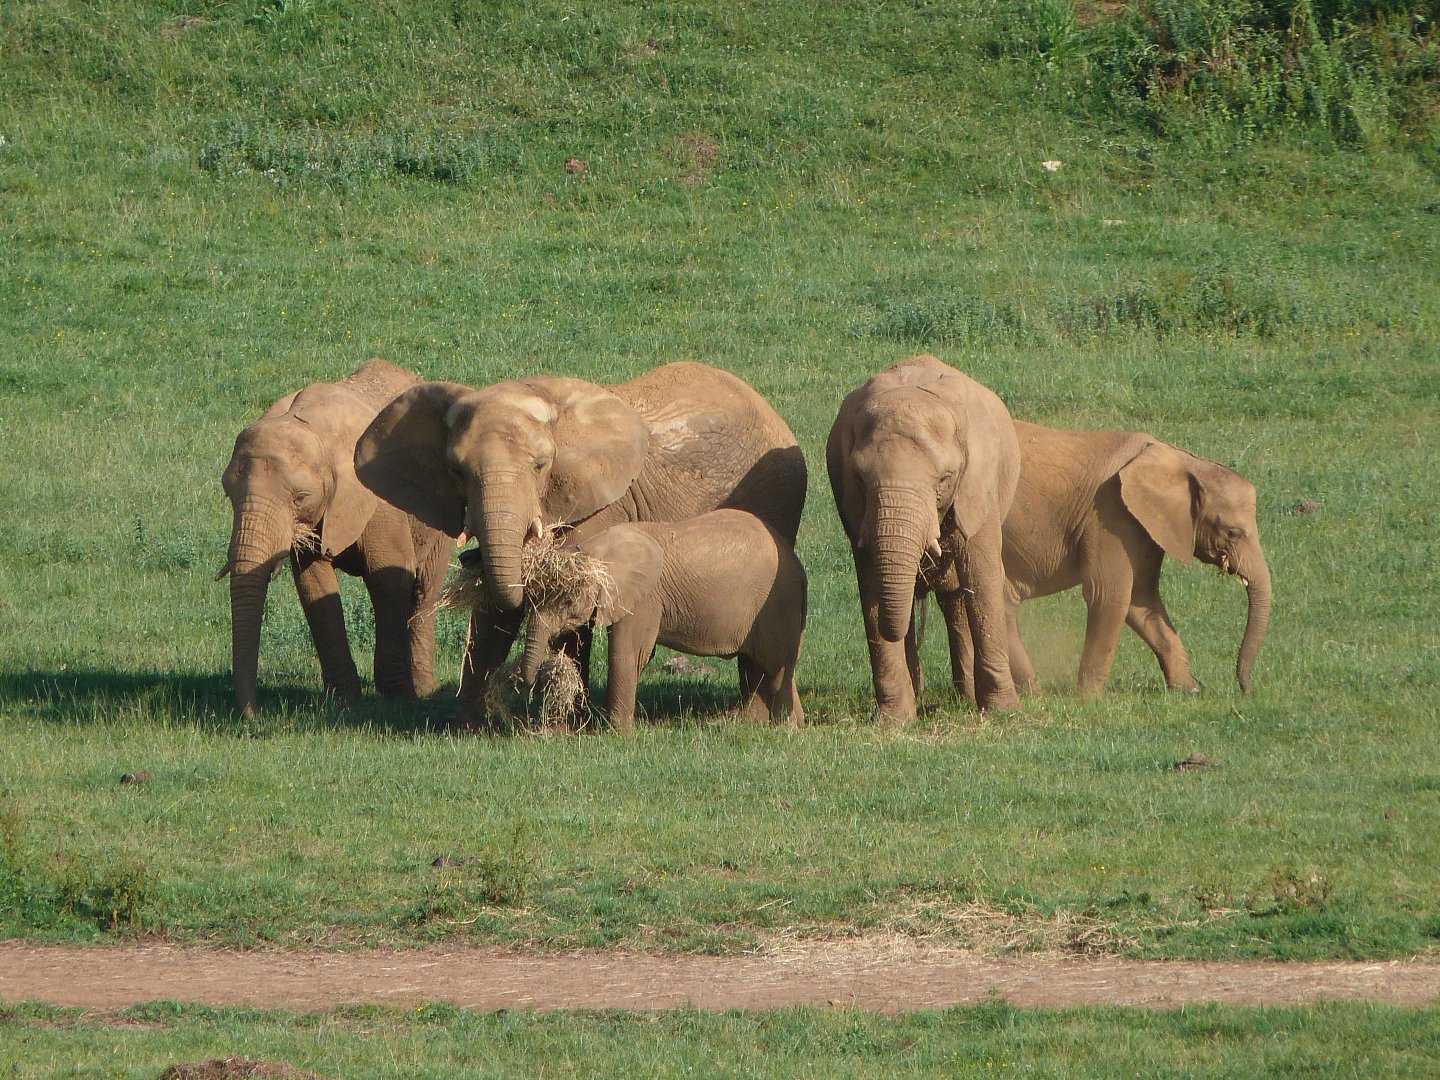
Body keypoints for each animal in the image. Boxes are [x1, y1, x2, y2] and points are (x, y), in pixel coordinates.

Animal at [218, 359, 453, 716]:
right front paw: (345, 701)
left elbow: (388, 579)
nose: (252, 717)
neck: (314, 430)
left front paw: (396, 698)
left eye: (301, 497)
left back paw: (425, 691)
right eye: (228, 493)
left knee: (424, 589)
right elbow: (314, 585)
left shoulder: (379, 499)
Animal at [517, 510, 807, 733]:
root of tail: (798, 565)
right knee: (756, 666)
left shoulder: (645, 599)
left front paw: (617, 734)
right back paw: (755, 725)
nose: (534, 682)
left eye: (568, 601)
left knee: (775, 667)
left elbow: (628, 653)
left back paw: (787, 728)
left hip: (777, 605)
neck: (599, 549)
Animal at [827, 355, 1022, 720]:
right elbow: (870, 584)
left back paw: (966, 698)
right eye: (859, 478)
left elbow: (982, 577)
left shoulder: (979, 485)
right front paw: (894, 721)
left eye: (945, 478)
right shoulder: (855, 508)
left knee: (957, 597)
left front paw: (1002, 712)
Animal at [958, 421, 1272, 695]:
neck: (1183, 461)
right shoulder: (1110, 515)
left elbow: (1141, 601)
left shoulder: (1141, 525)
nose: (1245, 689)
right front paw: (1088, 699)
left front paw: (1188, 690)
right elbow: (1109, 595)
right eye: (1233, 533)